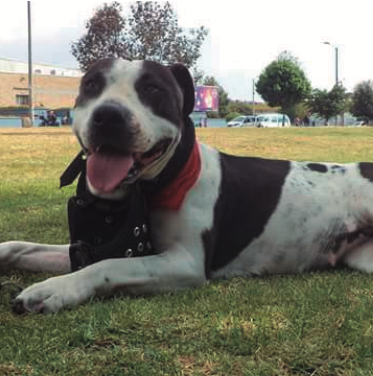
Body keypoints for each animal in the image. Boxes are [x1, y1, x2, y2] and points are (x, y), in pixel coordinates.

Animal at [1, 58, 372, 312]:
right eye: (91, 84)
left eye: (153, 89)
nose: (108, 115)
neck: (154, 186)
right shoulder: (90, 248)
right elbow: (26, 247)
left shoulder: (185, 263)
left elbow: (107, 266)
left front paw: (56, 289)